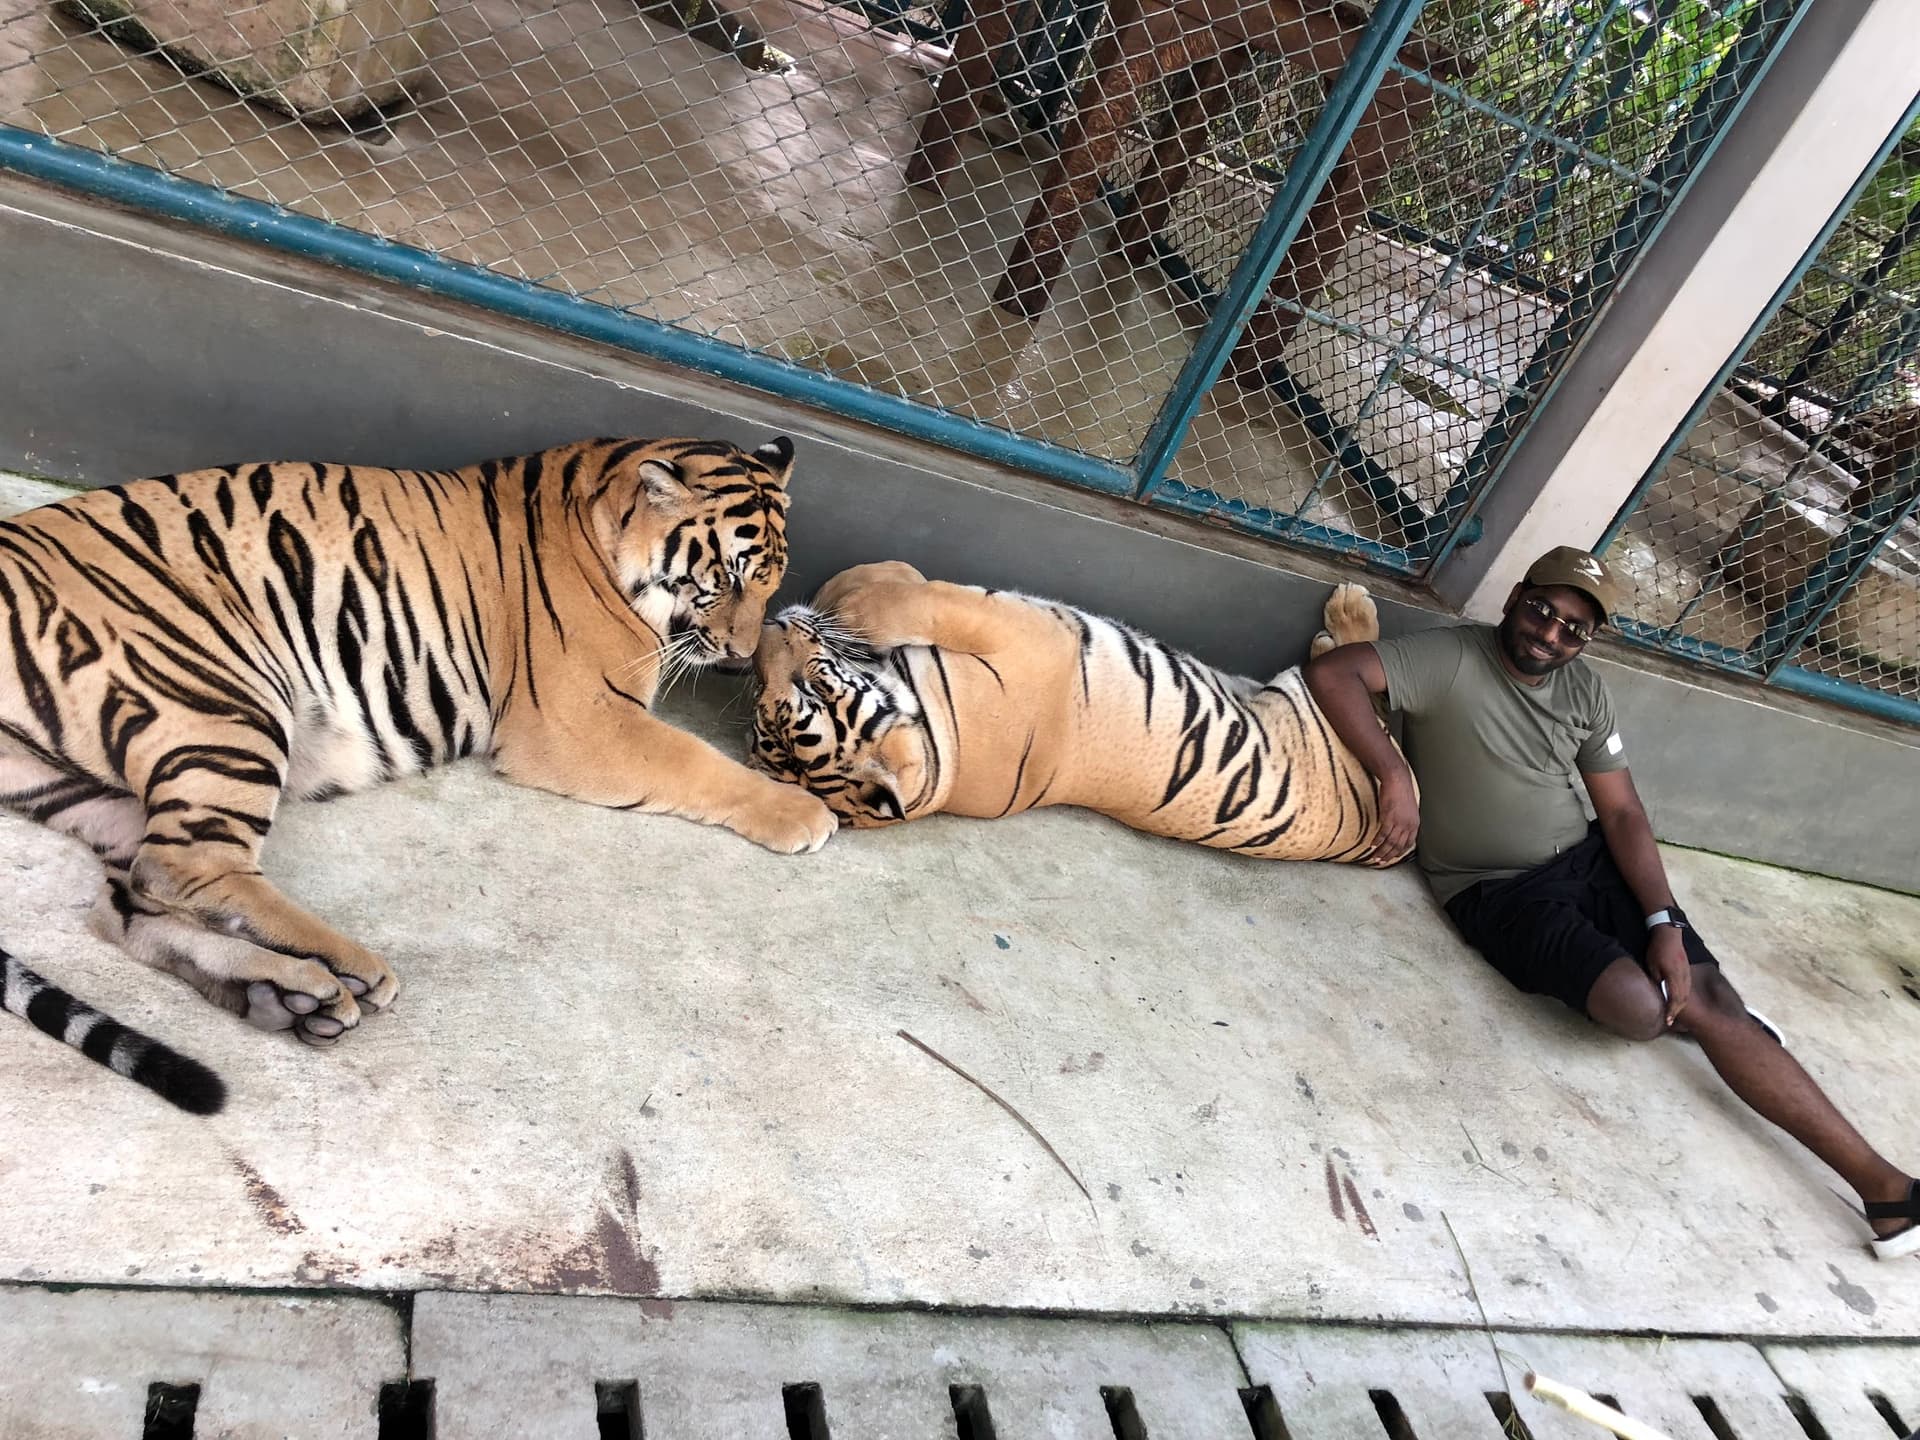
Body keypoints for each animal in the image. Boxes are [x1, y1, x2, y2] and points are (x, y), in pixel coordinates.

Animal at [0, 436, 834, 1097]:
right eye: (728, 575)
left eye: (771, 580)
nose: (740, 660)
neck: (603, 507)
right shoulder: (579, 721)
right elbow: (695, 760)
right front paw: (804, 815)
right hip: (221, 696)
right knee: (180, 868)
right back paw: (345, 965)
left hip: (82, 785)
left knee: (124, 899)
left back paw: (283, 997)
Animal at [748, 562, 1408, 861]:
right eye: (766, 698)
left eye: (812, 687)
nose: (762, 637)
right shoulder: (1020, 632)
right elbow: (913, 597)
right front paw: (853, 598)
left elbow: (898, 590)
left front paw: (844, 595)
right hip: (1317, 707)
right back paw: (1348, 613)